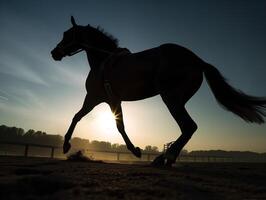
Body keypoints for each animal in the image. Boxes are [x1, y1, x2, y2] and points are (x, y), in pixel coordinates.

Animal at [51, 16, 266, 166]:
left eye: (67, 34)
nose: (54, 53)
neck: (104, 62)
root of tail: (197, 60)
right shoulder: (107, 100)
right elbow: (106, 123)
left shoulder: (98, 98)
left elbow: (86, 119)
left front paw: (66, 145)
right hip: (178, 99)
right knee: (188, 128)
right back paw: (165, 157)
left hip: (170, 98)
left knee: (189, 126)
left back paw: (166, 157)